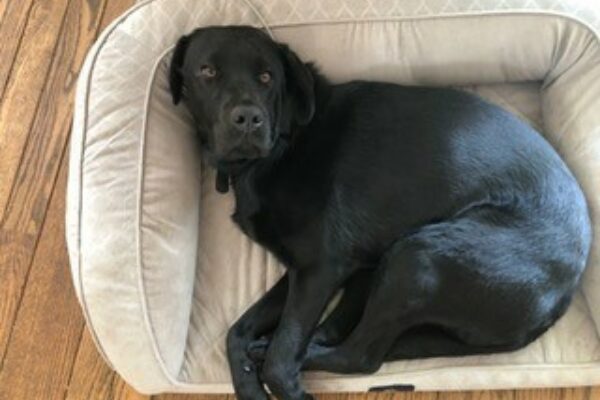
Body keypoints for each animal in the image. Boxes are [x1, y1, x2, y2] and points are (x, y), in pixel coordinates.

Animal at [169, 25, 592, 400]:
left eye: (266, 76)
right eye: (207, 72)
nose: (248, 119)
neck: (282, 144)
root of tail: (564, 294)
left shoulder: (319, 270)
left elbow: (281, 359)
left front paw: (282, 380)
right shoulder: (302, 270)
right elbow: (235, 332)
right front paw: (248, 384)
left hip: (418, 257)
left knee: (360, 357)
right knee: (344, 333)